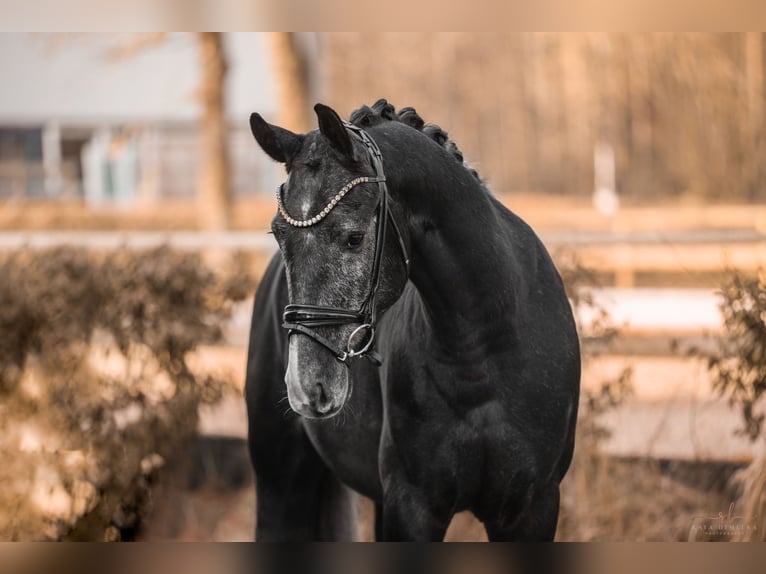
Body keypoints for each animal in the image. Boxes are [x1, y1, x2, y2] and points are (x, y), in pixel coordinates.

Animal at [246, 100, 584, 544]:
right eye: (278, 236)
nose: (306, 387)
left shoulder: (531, 510)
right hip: (280, 485)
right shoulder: (413, 509)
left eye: (353, 238)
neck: (485, 346)